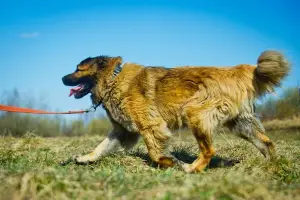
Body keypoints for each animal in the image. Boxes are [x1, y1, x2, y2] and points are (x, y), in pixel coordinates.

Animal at [62, 50, 290, 173]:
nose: (62, 78)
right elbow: (101, 147)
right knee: (266, 143)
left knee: (209, 150)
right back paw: (269, 166)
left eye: (78, 70)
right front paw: (84, 159)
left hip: (195, 113)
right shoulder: (123, 131)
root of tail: (238, 70)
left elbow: (155, 153)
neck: (113, 79)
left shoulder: (150, 126)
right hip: (241, 124)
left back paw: (191, 169)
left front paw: (171, 162)